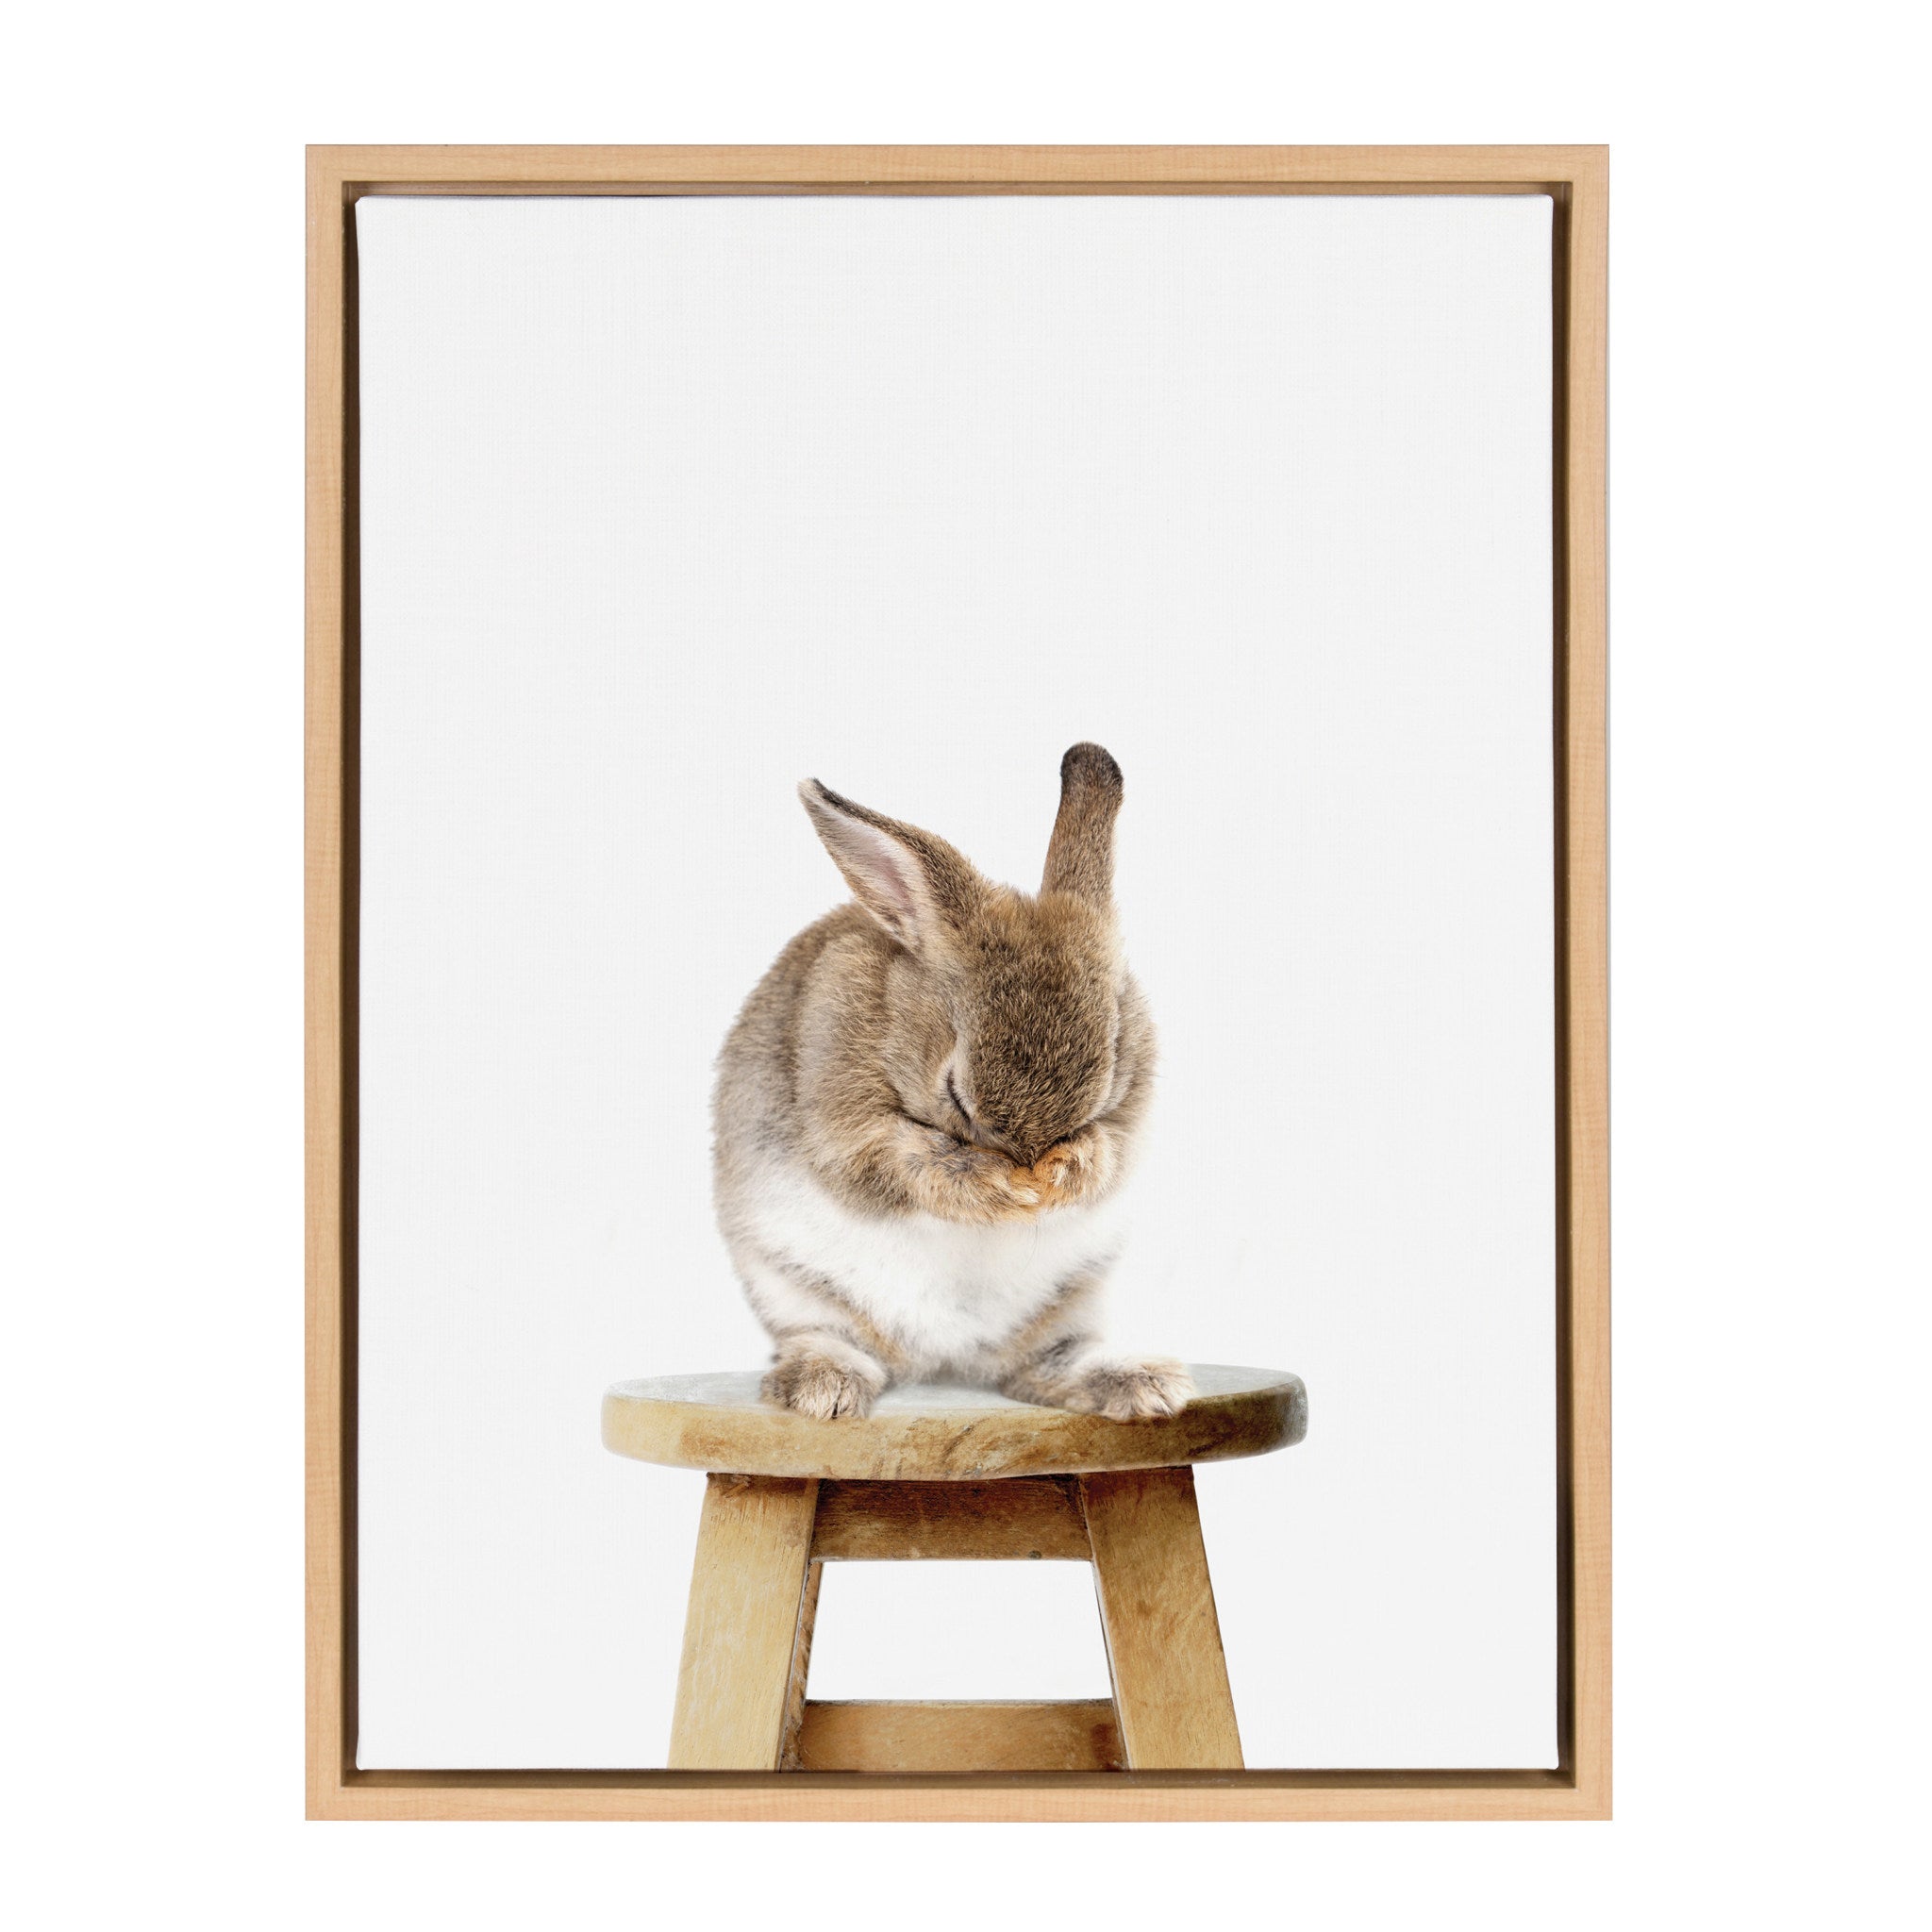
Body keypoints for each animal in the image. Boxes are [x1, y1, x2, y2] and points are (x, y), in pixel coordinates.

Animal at [712, 742, 1192, 1423]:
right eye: (956, 1095)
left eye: (1105, 1080)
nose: (1031, 1168)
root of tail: (945, 1359)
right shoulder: (844, 1124)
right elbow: (908, 1164)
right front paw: (1003, 1189)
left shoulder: (1131, 1116)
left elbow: (1111, 1152)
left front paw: (1065, 1172)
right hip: (795, 1289)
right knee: (829, 1340)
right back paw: (824, 1391)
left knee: (1046, 1366)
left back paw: (1145, 1385)